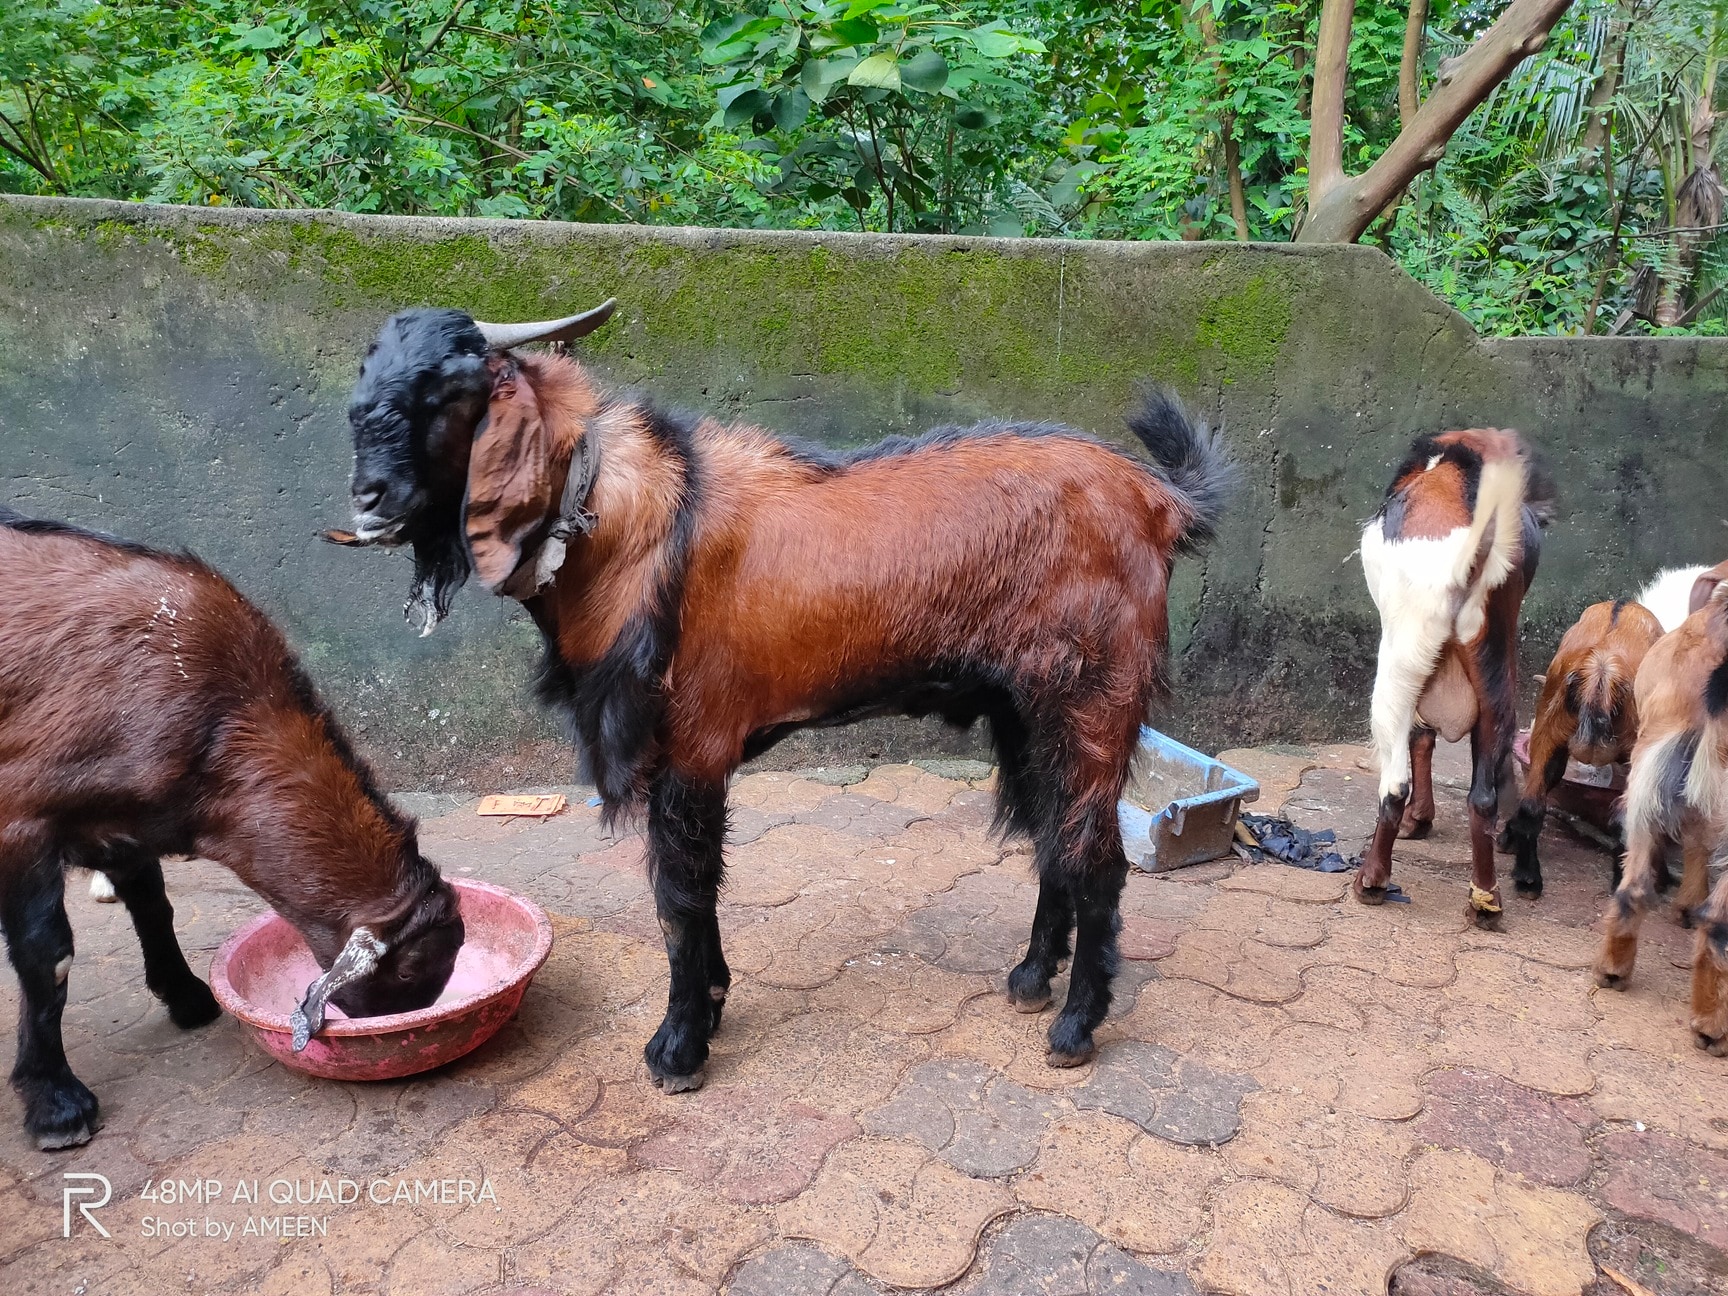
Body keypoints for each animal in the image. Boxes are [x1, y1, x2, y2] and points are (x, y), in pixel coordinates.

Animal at [0, 510, 463, 1148]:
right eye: (414, 967)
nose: (398, 1024)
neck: (223, 721)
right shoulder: (20, 818)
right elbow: (50, 956)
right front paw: (55, 1104)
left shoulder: (123, 822)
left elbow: (153, 905)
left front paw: (188, 997)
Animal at [335, 302, 1232, 1090]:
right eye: (366, 386)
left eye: (448, 393)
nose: (366, 497)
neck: (630, 525)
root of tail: (1158, 499)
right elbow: (694, 889)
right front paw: (711, 1004)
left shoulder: (693, 741)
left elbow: (679, 896)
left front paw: (679, 1046)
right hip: (1026, 707)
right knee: (1053, 836)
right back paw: (1030, 977)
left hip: (1094, 696)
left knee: (1096, 856)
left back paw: (1075, 1026)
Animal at [1356, 429, 1553, 926]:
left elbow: (1418, 739)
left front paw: (1418, 820)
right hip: (1495, 671)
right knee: (1481, 796)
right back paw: (1486, 899)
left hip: (1399, 663)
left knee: (1394, 783)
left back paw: (1372, 880)